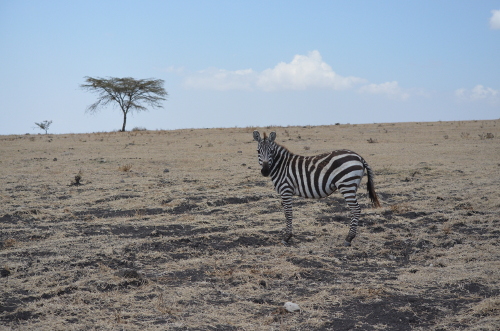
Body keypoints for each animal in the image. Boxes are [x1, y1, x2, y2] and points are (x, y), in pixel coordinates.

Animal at [252, 131, 380, 248]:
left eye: (271, 151)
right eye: (258, 151)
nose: (265, 171)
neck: (282, 166)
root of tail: (359, 157)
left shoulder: (286, 190)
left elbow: (288, 213)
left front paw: (287, 237)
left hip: (347, 184)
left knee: (356, 209)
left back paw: (349, 238)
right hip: (352, 185)